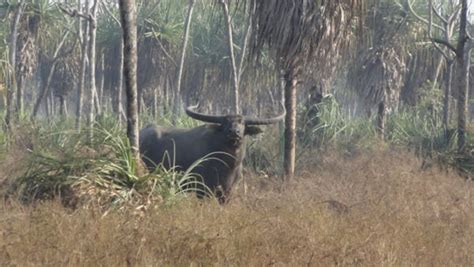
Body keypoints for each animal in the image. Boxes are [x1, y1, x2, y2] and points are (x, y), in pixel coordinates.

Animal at [139, 105, 284, 203]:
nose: (234, 132)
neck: (228, 164)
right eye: (225, 122)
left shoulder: (227, 192)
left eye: (242, 122)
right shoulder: (202, 190)